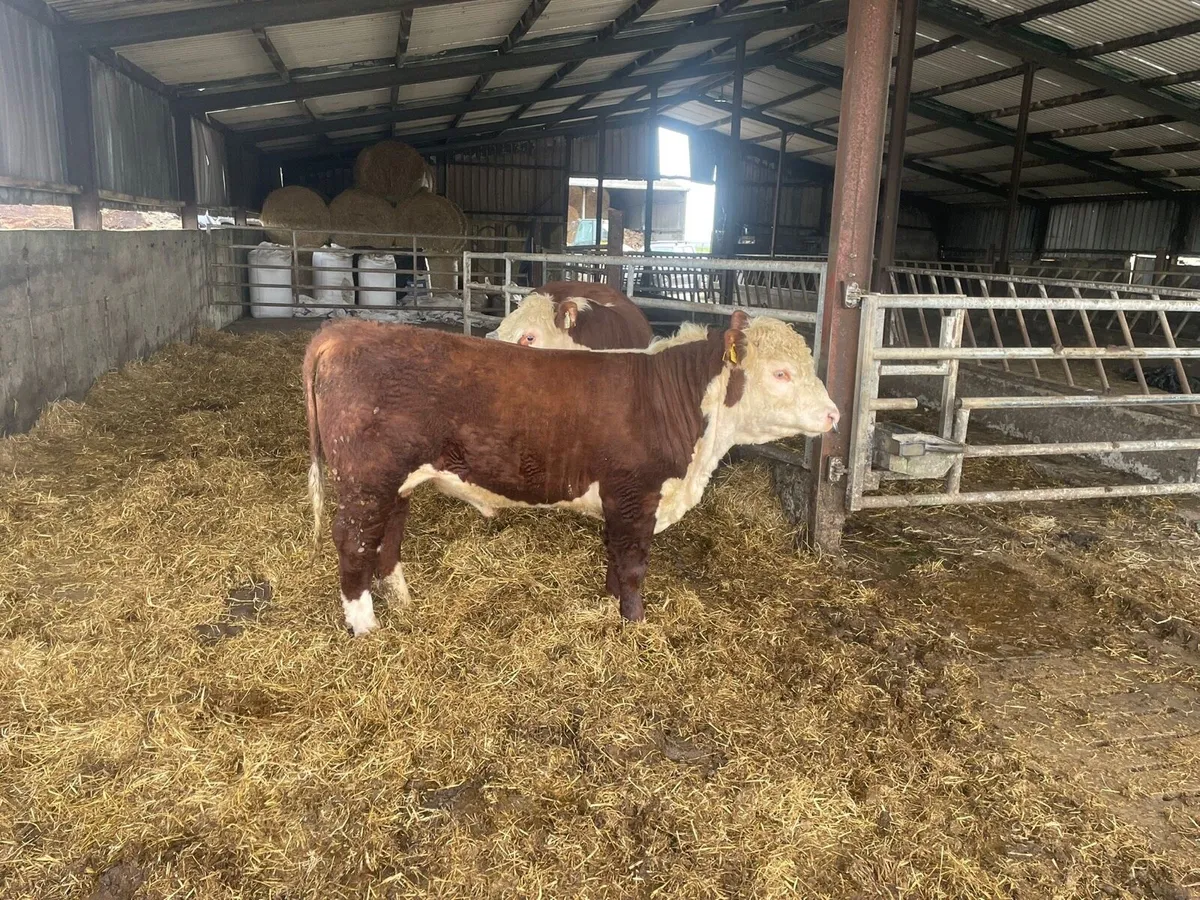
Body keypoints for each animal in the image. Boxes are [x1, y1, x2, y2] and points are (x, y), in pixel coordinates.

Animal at [303, 311, 838, 636]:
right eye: (781, 373)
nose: (834, 414)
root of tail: (345, 330)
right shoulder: (635, 495)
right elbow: (633, 563)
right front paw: (634, 623)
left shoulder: (620, 502)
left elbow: (615, 558)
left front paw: (611, 603)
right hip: (366, 480)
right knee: (353, 542)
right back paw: (365, 625)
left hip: (395, 481)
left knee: (387, 535)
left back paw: (401, 598)